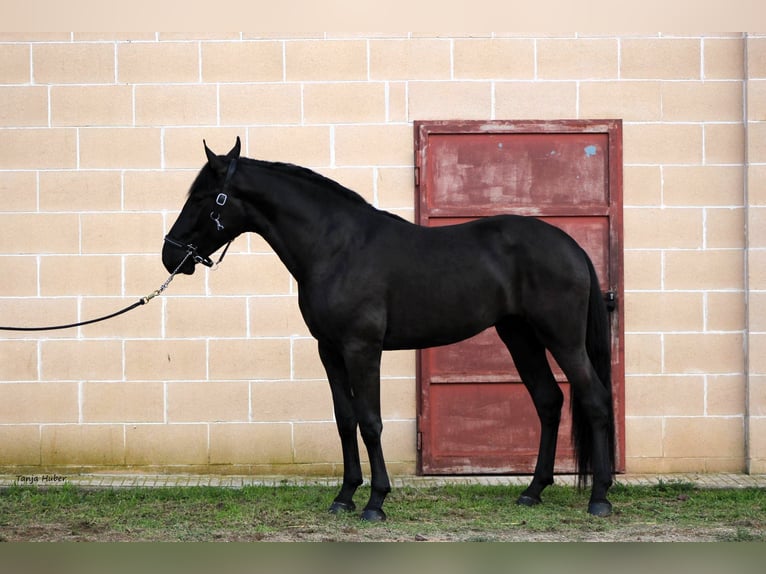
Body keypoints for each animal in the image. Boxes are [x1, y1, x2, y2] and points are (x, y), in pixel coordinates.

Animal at [162, 138, 616, 520]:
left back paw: (600, 498)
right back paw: (533, 491)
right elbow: (345, 419)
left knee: (593, 399)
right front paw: (344, 497)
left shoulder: (362, 348)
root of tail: (571, 246)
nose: (170, 254)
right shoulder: (330, 350)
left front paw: (375, 502)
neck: (336, 248)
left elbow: (370, 420)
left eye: (202, 198)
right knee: (548, 401)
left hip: (562, 339)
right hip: (520, 337)